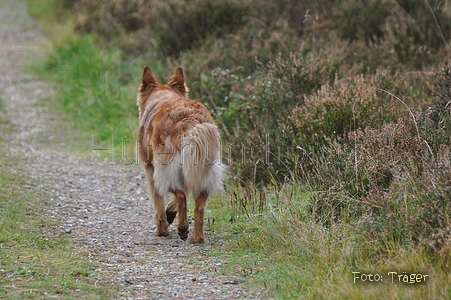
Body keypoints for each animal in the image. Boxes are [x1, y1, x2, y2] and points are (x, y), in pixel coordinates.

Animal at [136, 66, 224, 244]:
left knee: (180, 195)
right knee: (199, 203)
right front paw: (170, 214)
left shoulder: (150, 169)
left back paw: (182, 228)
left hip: (164, 168)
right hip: (203, 169)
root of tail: (191, 119)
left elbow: (158, 201)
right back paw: (197, 237)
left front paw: (162, 227)